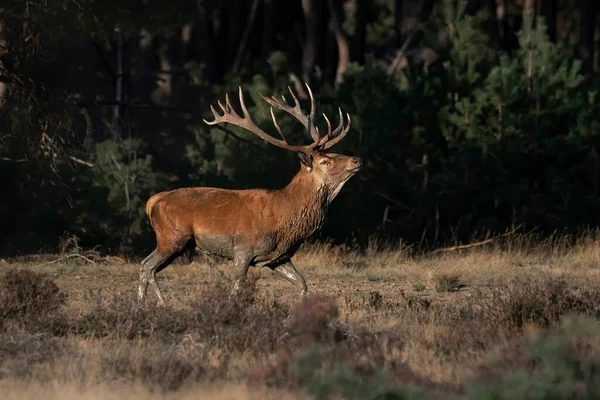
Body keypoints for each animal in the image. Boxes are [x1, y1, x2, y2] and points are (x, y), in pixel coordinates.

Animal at [138, 83, 364, 304]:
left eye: (335, 153)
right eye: (325, 161)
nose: (357, 159)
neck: (284, 217)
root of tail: (151, 201)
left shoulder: (278, 257)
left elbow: (302, 283)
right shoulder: (243, 248)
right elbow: (236, 288)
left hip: (178, 242)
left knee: (145, 266)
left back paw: (143, 305)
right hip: (172, 237)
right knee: (147, 266)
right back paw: (159, 303)